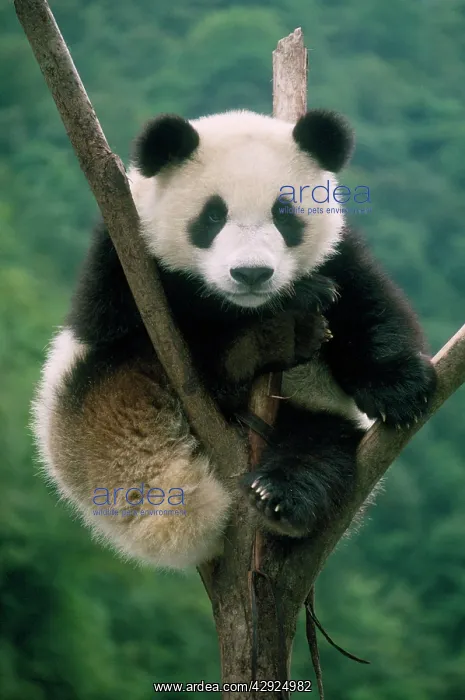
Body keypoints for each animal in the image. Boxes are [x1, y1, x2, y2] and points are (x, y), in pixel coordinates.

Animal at [32, 108, 437, 570]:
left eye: (284, 214)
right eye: (212, 217)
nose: (251, 274)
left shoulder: (337, 252)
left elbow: (369, 305)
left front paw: (399, 390)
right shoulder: (123, 255)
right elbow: (125, 319)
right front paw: (286, 310)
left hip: (312, 418)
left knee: (321, 450)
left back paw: (280, 496)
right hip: (89, 400)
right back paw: (270, 341)